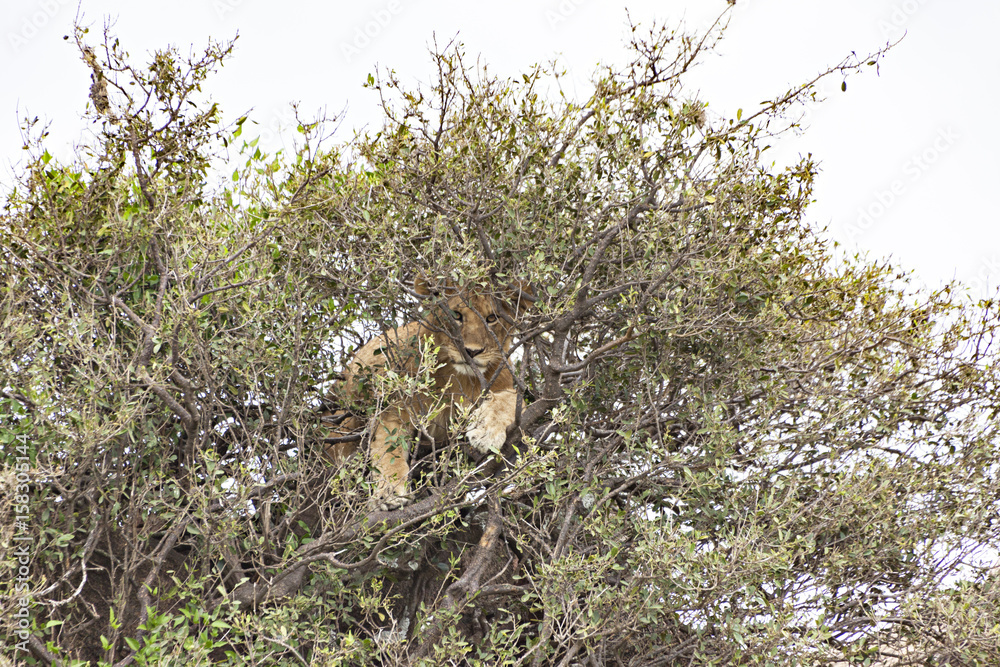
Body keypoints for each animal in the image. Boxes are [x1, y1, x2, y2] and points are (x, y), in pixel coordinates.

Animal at [325, 276, 533, 509]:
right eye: (456, 315)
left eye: (492, 318)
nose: (471, 351)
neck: (460, 377)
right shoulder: (397, 410)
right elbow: (388, 448)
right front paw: (389, 493)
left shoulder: (510, 388)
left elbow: (507, 401)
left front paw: (484, 431)